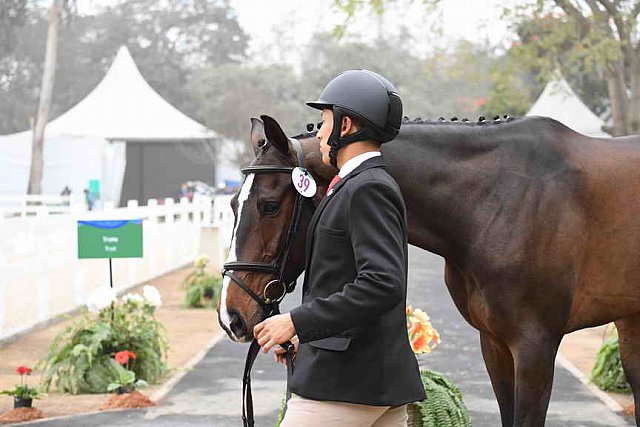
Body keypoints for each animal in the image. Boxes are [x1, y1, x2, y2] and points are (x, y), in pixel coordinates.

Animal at [219, 114, 640, 427]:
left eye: (270, 205)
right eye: (232, 203)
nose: (231, 317)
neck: (499, 199)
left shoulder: (535, 346)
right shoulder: (494, 344)